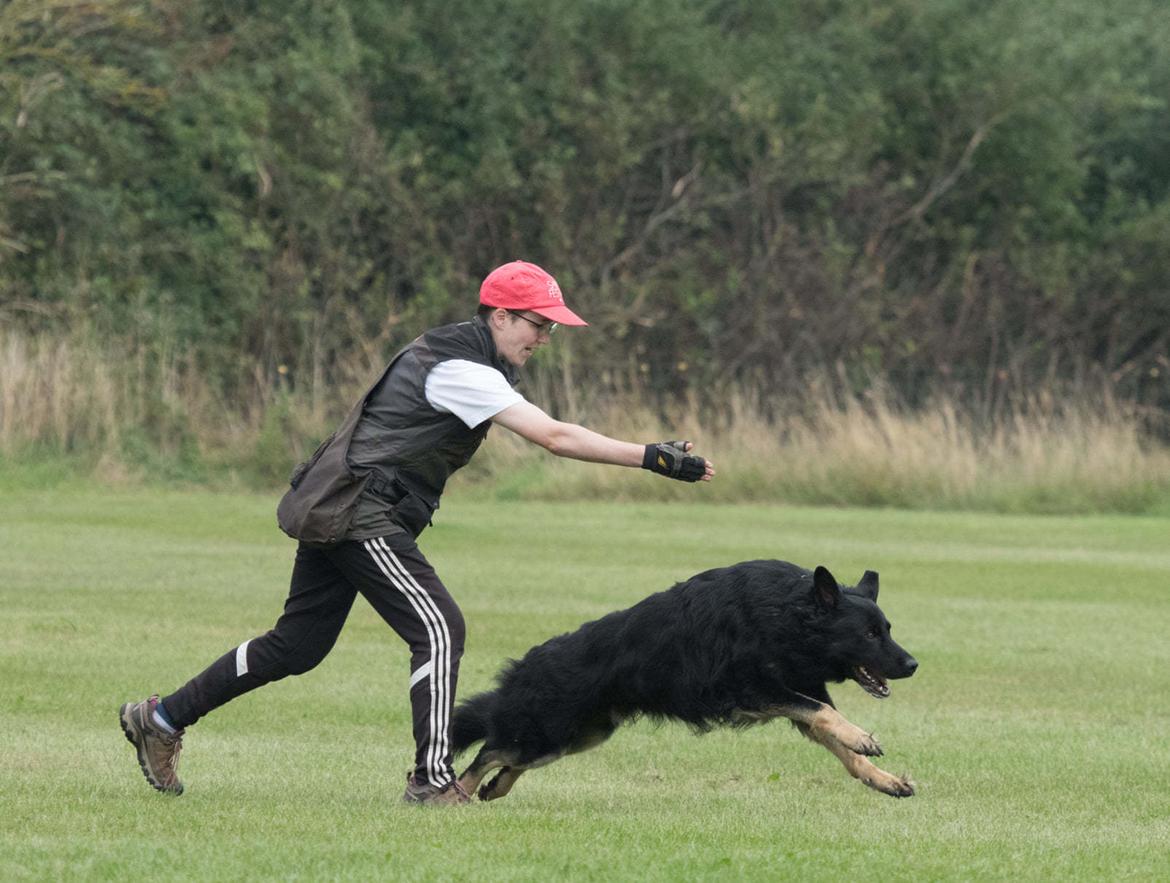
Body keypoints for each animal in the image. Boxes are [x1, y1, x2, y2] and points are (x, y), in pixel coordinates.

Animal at [451, 566, 917, 799]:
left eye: (888, 629)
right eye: (870, 634)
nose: (912, 664)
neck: (787, 613)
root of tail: (527, 664)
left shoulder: (796, 700)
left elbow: (839, 743)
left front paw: (882, 777)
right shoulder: (754, 692)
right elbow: (825, 715)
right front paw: (863, 737)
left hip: (574, 738)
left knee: (503, 764)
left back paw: (490, 791)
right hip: (545, 734)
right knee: (487, 754)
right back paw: (450, 795)